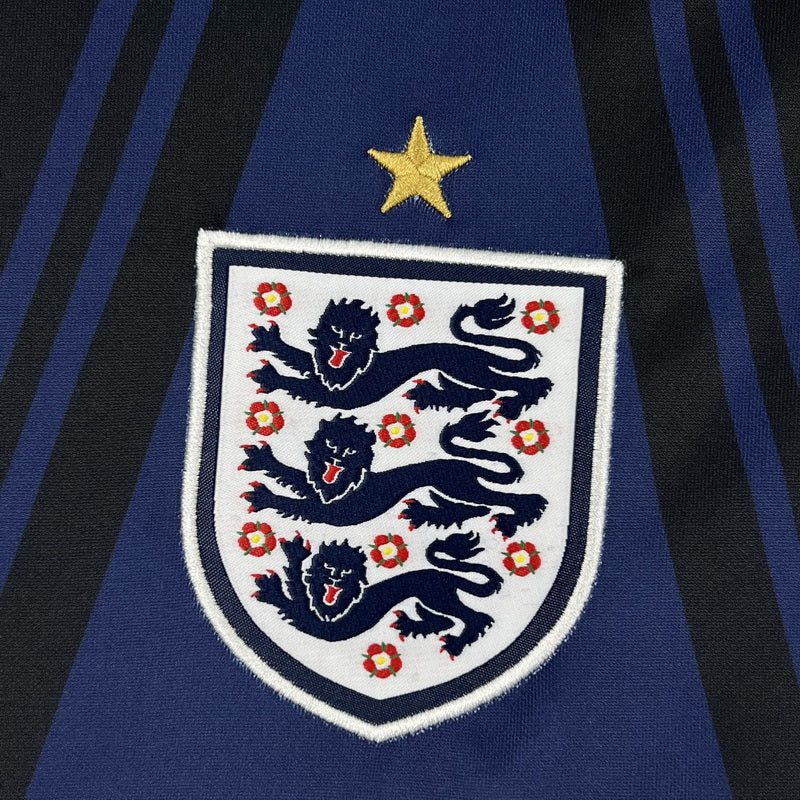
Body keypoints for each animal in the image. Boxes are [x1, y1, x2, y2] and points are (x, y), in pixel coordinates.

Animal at [240, 410, 547, 537]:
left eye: (351, 451)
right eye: (330, 444)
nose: (338, 456)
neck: (345, 483)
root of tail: (468, 465)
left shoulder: (333, 512)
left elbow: (294, 503)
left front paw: (263, 497)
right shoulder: (320, 492)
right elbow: (295, 478)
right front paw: (264, 459)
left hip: (461, 487)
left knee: (520, 499)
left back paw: (515, 519)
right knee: (480, 508)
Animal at [246, 295, 553, 420]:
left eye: (357, 335)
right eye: (335, 329)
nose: (344, 340)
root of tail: (478, 352)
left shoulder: (342, 395)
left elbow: (300, 384)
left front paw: (270, 377)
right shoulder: (322, 372)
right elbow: (300, 359)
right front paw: (271, 340)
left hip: (469, 370)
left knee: (529, 383)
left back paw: (513, 406)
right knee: (485, 392)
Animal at [251, 531, 502, 657]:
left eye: (347, 571)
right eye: (328, 567)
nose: (336, 578)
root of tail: (444, 574)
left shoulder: (323, 623)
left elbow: (294, 595)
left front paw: (273, 586)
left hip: (437, 597)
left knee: (476, 617)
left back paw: (456, 644)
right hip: (428, 599)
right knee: (448, 620)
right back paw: (413, 624)